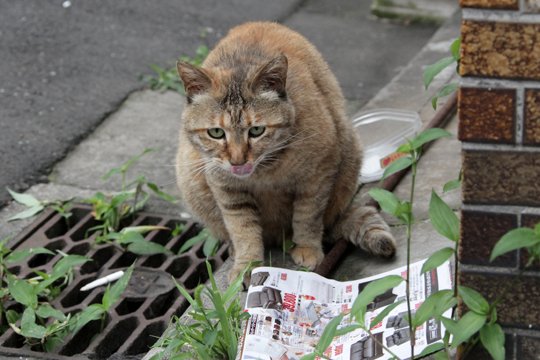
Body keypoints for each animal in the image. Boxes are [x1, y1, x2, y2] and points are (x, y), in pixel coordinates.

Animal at [175, 21, 394, 282]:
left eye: (256, 130)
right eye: (216, 133)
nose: (238, 161)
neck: (264, 172)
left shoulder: (319, 173)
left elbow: (307, 217)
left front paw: (307, 247)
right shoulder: (226, 189)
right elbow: (243, 230)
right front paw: (247, 265)